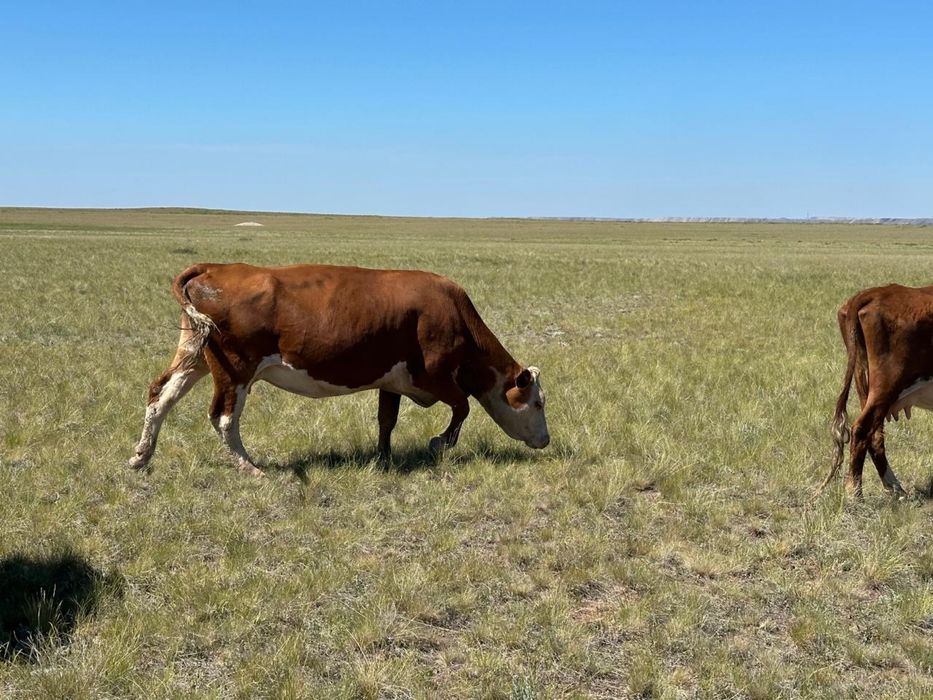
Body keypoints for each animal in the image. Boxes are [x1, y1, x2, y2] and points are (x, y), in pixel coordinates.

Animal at [130, 263, 550, 476]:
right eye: (538, 403)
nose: (545, 440)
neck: (454, 314)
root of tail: (215, 268)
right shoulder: (433, 376)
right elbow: (462, 407)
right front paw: (438, 444)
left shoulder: (391, 380)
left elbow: (386, 420)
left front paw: (384, 458)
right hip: (235, 369)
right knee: (223, 417)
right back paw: (250, 467)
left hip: (196, 355)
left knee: (160, 396)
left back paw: (141, 457)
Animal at [821, 283, 933, 499]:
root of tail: (875, 292)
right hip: (887, 384)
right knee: (862, 429)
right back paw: (854, 491)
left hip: (864, 379)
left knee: (874, 435)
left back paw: (895, 488)